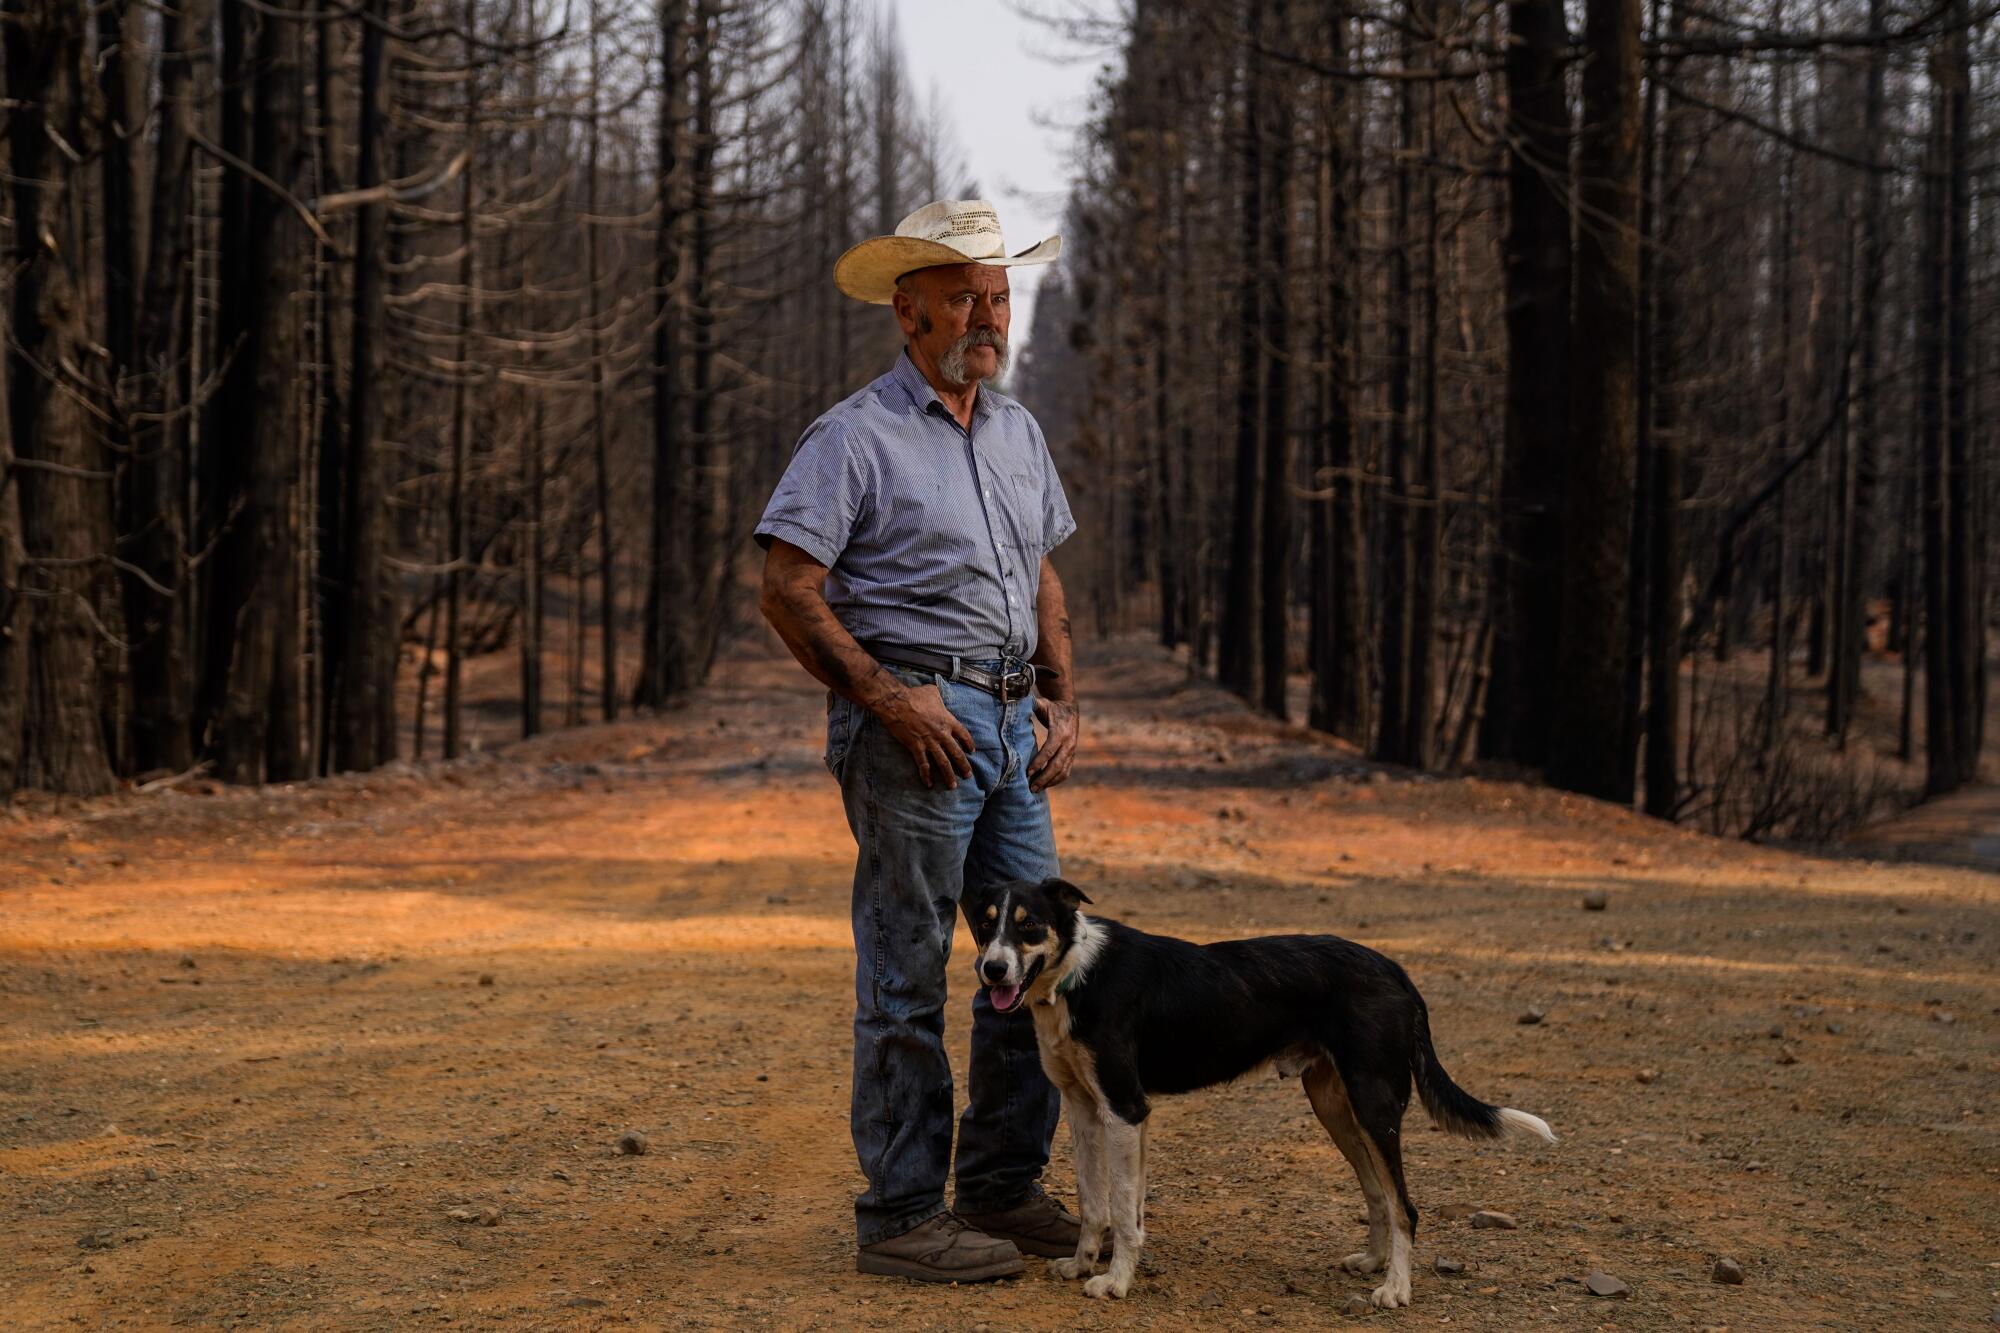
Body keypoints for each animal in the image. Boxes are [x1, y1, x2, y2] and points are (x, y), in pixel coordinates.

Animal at [960, 876, 1552, 1304]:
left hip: (1375, 1103)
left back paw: (1395, 1289)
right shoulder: (1086, 1112)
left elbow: (1124, 1212)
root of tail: (1394, 968)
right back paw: (1374, 1263)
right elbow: (1096, 1204)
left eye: (1030, 925)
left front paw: (1115, 1282)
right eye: (985, 926)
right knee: (1378, 1194)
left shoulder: (1125, 1110)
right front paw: (1083, 1264)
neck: (1076, 976)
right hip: (1335, 1107)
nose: (992, 970)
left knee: (1405, 1205)